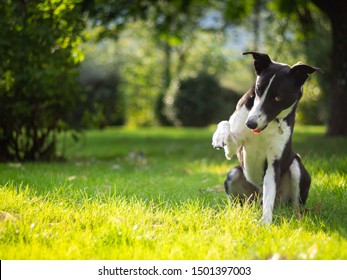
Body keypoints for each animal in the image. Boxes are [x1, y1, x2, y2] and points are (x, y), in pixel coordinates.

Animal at [213, 51, 322, 224]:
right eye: (258, 90)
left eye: (278, 97)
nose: (250, 123)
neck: (269, 124)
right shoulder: (233, 147)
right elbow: (225, 124)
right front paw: (219, 136)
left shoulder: (273, 163)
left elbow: (269, 195)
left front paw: (265, 223)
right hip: (234, 175)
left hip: (296, 166)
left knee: (294, 205)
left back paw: (296, 217)